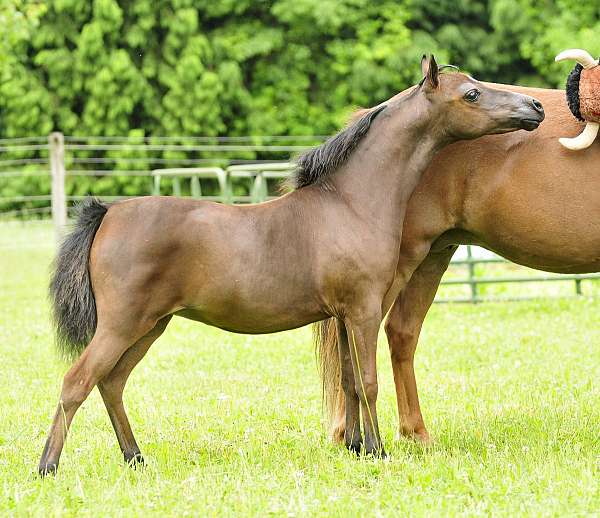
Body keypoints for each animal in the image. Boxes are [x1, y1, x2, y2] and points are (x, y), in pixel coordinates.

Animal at [37, 57, 544, 476]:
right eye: (471, 94)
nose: (536, 106)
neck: (350, 202)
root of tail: (108, 213)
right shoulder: (362, 310)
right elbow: (368, 381)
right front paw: (378, 452)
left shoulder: (342, 316)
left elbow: (348, 382)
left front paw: (357, 448)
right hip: (122, 325)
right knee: (77, 382)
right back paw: (48, 467)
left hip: (150, 326)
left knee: (111, 383)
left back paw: (135, 458)